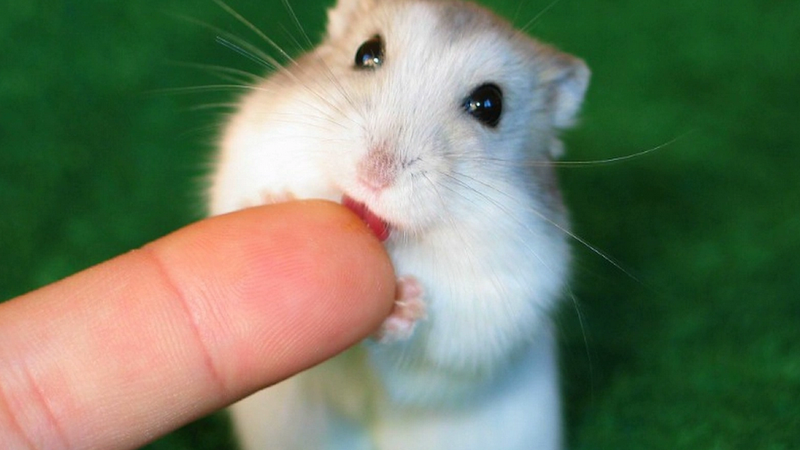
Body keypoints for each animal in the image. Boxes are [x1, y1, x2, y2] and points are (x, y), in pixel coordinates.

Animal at [208, 0, 590, 448]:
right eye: (367, 53)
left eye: (490, 105)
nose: (374, 174)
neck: (397, 242)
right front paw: (273, 201)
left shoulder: (494, 317)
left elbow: (420, 358)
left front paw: (405, 303)